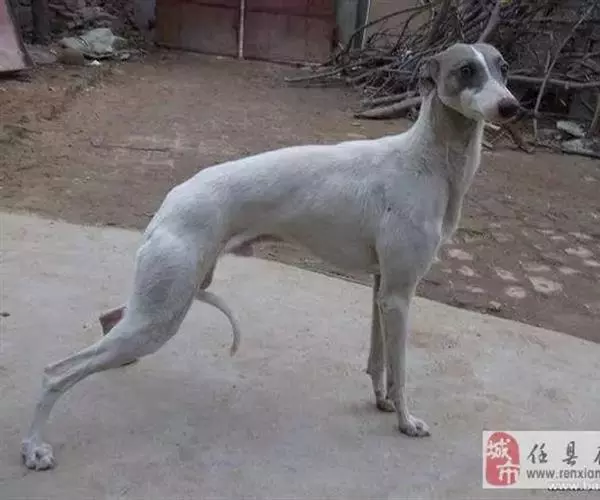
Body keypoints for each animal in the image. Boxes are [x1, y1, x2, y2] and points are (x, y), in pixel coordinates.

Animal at [22, 43, 519, 470]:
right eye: (466, 70)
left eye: (502, 67)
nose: (511, 107)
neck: (424, 160)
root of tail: (173, 199)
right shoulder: (399, 294)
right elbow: (400, 370)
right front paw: (406, 421)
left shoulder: (383, 288)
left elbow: (378, 362)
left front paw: (380, 401)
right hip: (162, 313)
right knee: (54, 373)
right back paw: (33, 448)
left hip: (165, 299)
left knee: (108, 320)